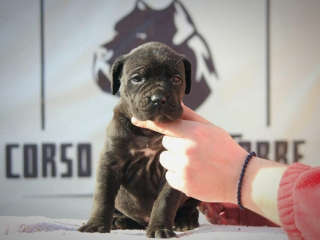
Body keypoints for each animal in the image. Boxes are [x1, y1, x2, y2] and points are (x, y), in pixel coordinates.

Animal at [79, 41, 199, 238]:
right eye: (137, 79)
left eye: (176, 79)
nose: (159, 98)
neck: (147, 131)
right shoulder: (110, 162)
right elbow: (103, 196)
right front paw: (96, 225)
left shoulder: (172, 167)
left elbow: (165, 201)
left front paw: (160, 228)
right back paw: (119, 221)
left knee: (190, 208)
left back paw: (185, 220)